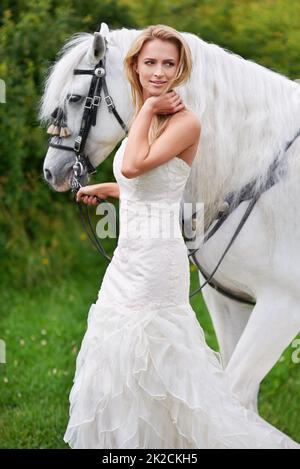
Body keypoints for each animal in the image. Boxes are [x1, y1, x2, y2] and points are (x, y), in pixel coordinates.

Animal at [40, 22, 300, 416]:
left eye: (74, 98)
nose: (51, 171)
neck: (256, 172)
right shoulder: (229, 300)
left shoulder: (281, 308)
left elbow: (233, 397)